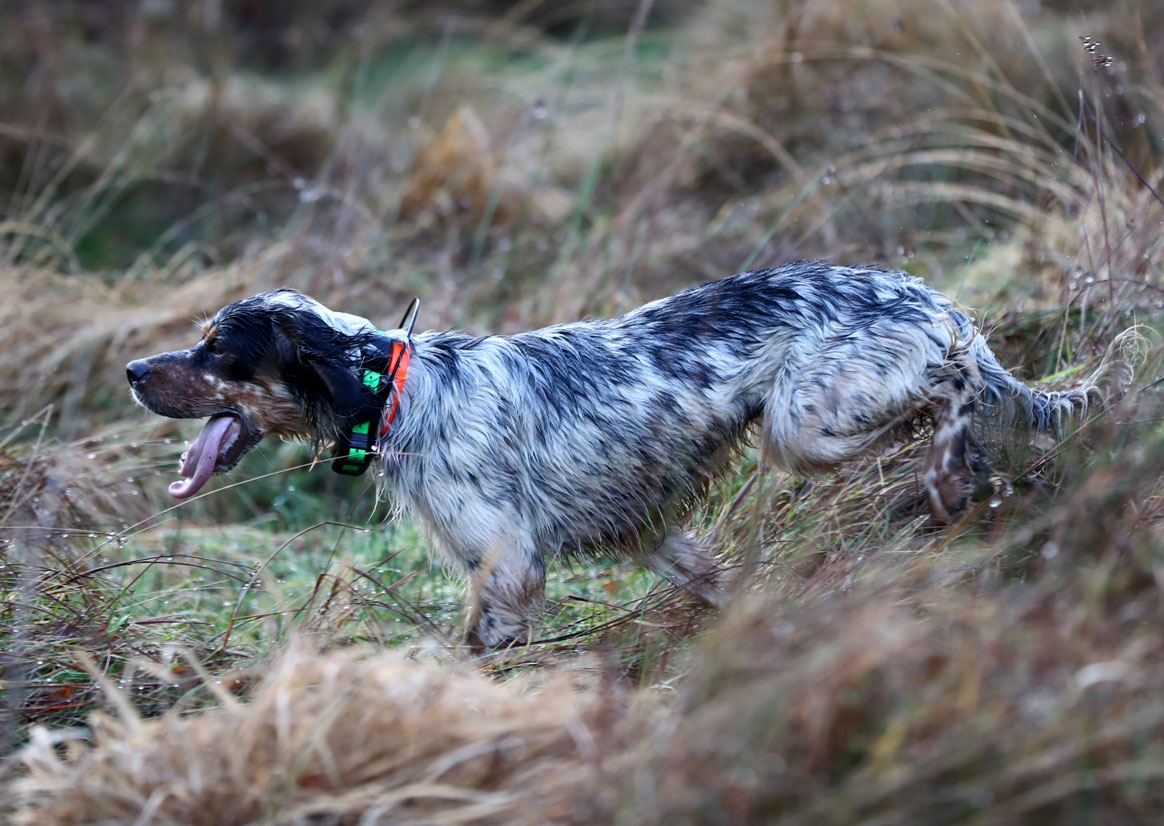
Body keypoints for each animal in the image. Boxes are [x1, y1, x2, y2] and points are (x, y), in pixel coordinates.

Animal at [127, 264, 1136, 646]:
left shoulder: (507, 563)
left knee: (951, 389)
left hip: (805, 423)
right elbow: (719, 581)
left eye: (216, 350)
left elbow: (474, 648)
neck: (398, 390)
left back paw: (950, 464)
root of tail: (932, 297)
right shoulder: (646, 533)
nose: (134, 369)